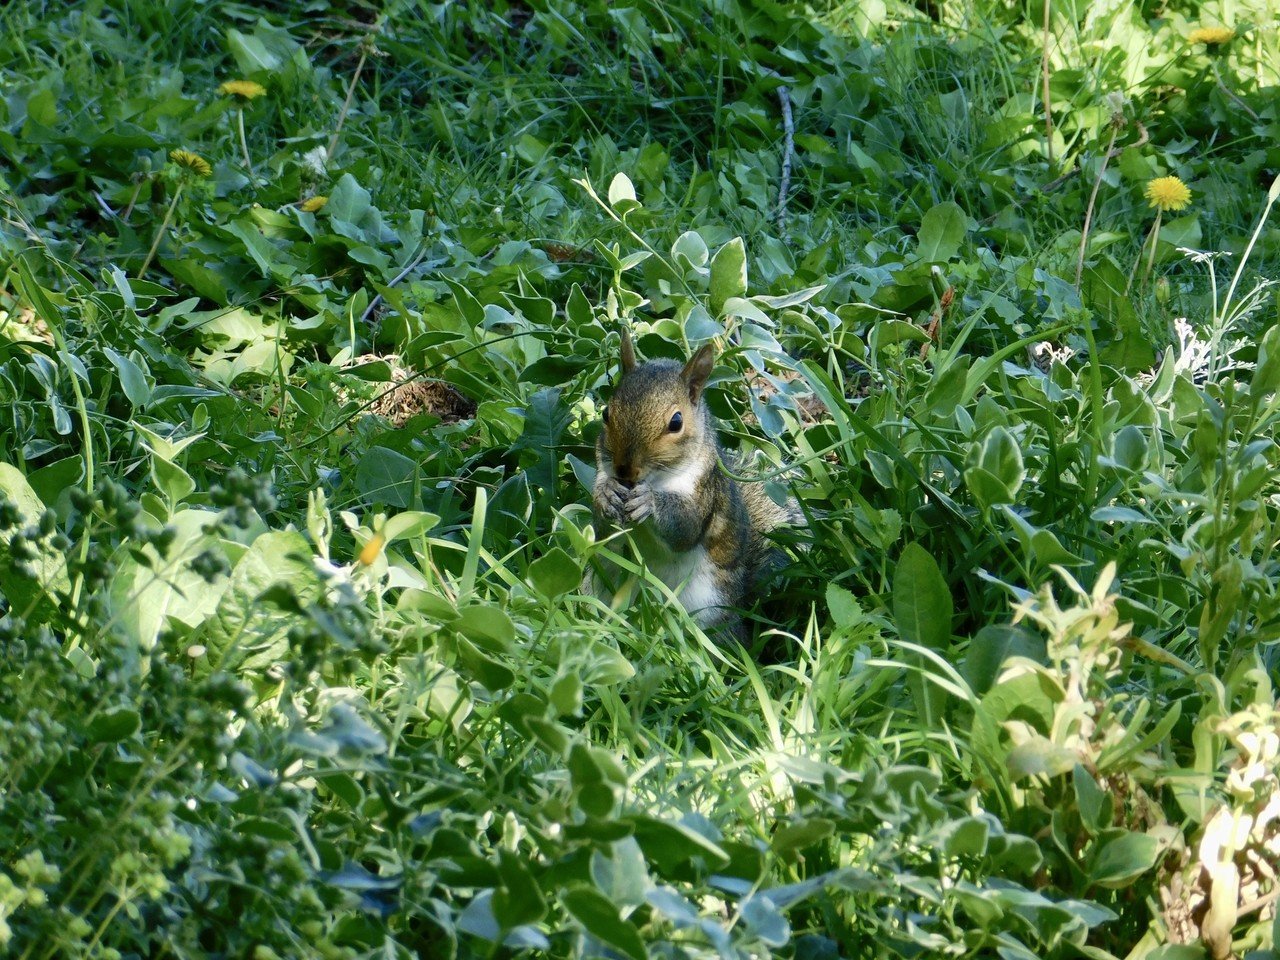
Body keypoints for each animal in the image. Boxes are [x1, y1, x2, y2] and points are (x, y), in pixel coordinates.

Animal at [591, 327, 798, 634]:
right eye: (606, 413)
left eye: (676, 422)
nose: (625, 471)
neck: (655, 479)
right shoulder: (602, 471)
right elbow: (601, 526)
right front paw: (606, 494)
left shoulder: (704, 491)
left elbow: (684, 528)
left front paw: (649, 502)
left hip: (708, 604)